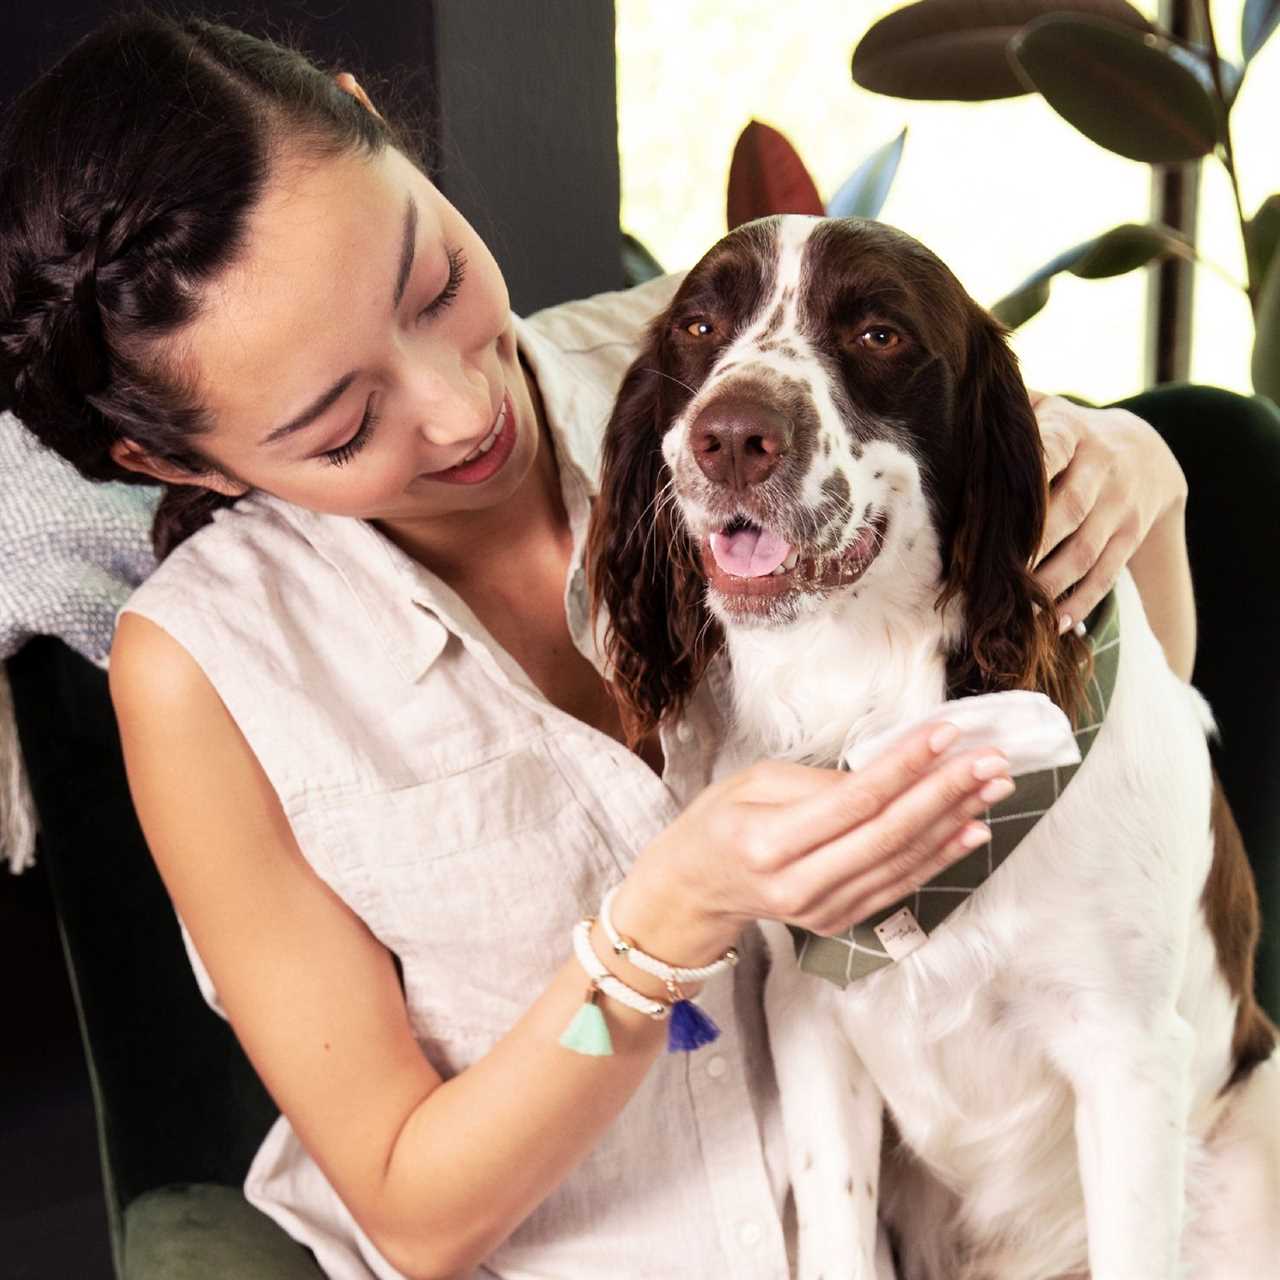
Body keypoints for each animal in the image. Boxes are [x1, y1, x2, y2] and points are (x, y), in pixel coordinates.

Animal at [586, 220, 1280, 1280]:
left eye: (879, 333)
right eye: (699, 325)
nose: (732, 436)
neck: (871, 683)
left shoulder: (1127, 1055)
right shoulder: (810, 1021)